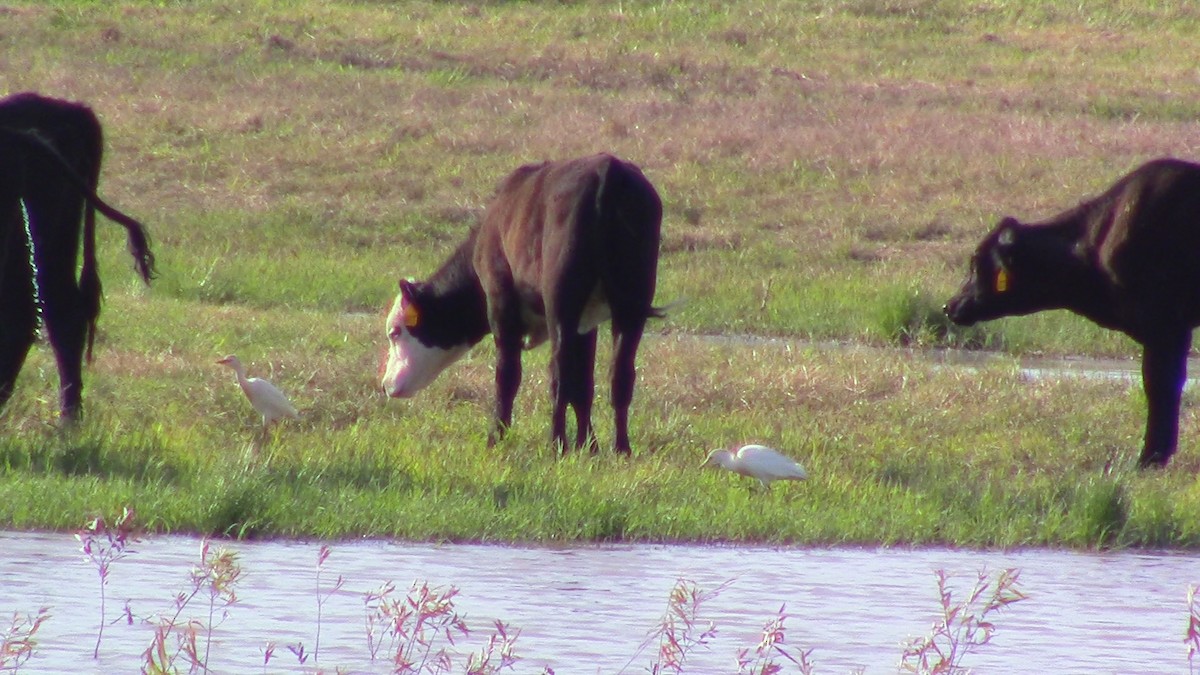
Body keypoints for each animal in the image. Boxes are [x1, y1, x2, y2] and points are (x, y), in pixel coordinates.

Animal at [381, 153, 662, 451]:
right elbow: (584, 384)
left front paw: (495, 438)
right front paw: (589, 445)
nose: (386, 385)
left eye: (395, 332)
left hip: (561, 305)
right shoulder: (587, 323)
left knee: (559, 374)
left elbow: (507, 375)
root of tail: (608, 168)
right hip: (631, 304)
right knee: (619, 376)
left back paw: (556, 444)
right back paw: (620, 448)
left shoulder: (500, 302)